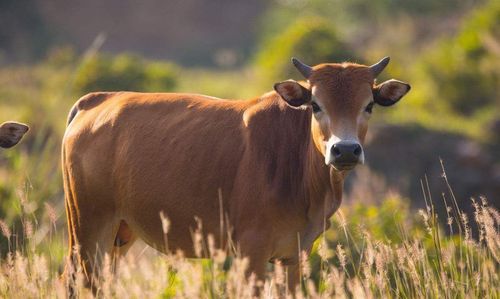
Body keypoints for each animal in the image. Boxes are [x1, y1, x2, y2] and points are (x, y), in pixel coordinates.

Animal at [61, 56, 410, 292]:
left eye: (368, 106)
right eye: (315, 105)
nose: (345, 150)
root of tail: (98, 99)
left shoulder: (294, 255)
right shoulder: (251, 253)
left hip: (119, 234)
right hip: (88, 229)